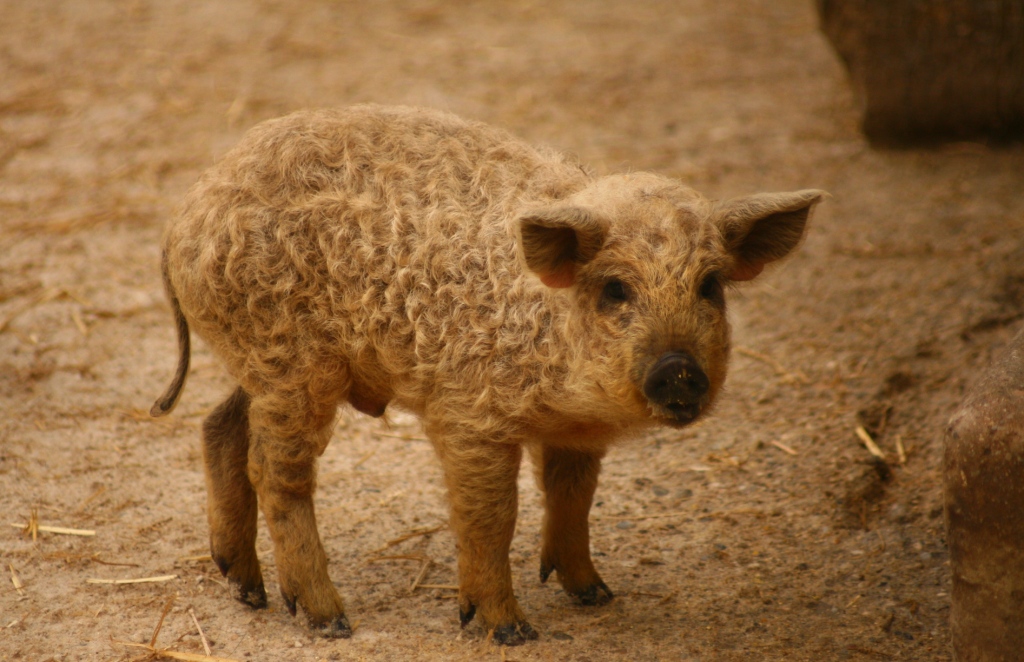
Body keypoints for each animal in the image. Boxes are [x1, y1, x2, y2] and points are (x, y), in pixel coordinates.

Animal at [151, 105, 823, 647]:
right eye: (615, 288)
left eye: (710, 285)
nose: (678, 370)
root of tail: (186, 211)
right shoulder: (469, 417)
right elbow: (491, 517)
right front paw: (511, 631)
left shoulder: (577, 433)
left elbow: (573, 494)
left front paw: (596, 595)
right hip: (291, 364)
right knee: (276, 471)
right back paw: (328, 620)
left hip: (263, 367)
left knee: (219, 426)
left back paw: (247, 589)